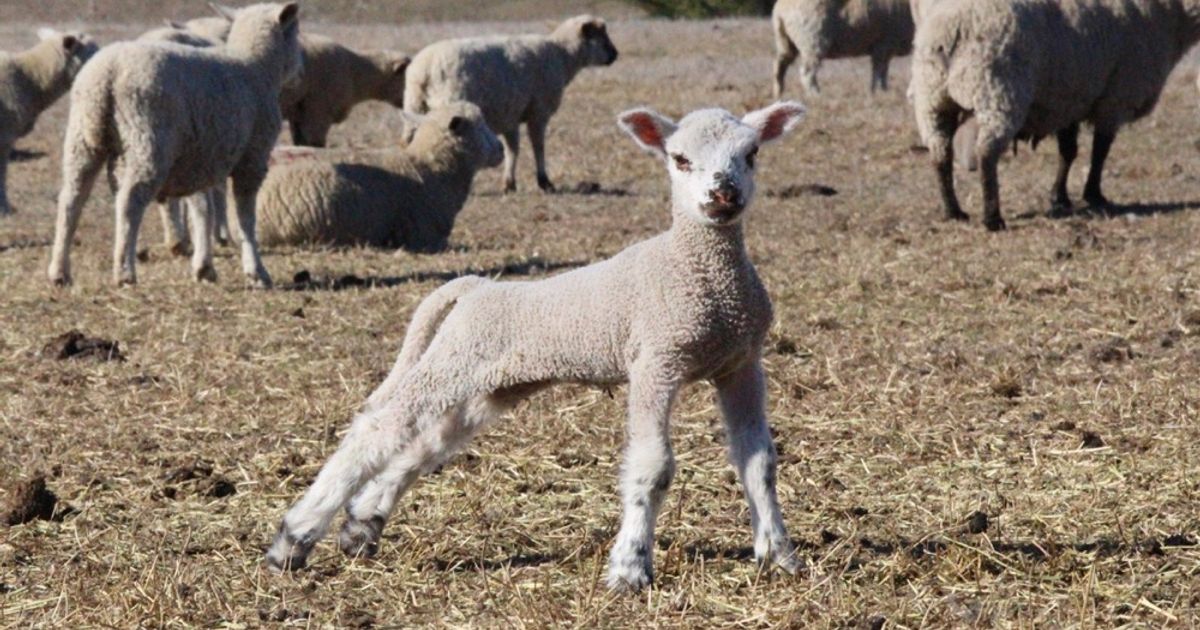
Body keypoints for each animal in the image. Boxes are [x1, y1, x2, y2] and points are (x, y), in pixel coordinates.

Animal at [47, 2, 302, 288]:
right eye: (296, 33)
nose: (301, 69)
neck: (255, 66)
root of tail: (107, 75)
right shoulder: (252, 158)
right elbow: (245, 216)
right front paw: (256, 271)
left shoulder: (203, 155)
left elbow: (203, 209)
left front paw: (204, 267)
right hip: (148, 141)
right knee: (129, 201)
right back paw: (124, 272)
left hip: (82, 140)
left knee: (71, 200)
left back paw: (60, 272)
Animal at [404, 14, 618, 193]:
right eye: (601, 36)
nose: (615, 55)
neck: (562, 55)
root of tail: (424, 70)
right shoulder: (538, 112)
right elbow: (538, 146)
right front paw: (544, 182)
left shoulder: (511, 115)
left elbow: (512, 149)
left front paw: (509, 183)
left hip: (413, 108)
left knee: (409, 143)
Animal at [772, 0, 913, 98]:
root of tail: (779, 11)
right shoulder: (883, 45)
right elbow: (879, 73)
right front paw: (880, 93)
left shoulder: (884, 48)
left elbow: (882, 73)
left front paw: (880, 92)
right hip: (812, 42)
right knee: (807, 73)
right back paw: (816, 95)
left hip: (784, 42)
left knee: (779, 67)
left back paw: (779, 93)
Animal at [911, 0, 1200, 231]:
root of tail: (952, 29)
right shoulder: (1114, 97)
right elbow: (1100, 151)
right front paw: (1094, 195)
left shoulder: (1067, 99)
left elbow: (1068, 151)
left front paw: (1060, 198)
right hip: (997, 90)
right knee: (986, 154)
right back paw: (992, 218)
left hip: (932, 100)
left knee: (940, 153)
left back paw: (953, 211)